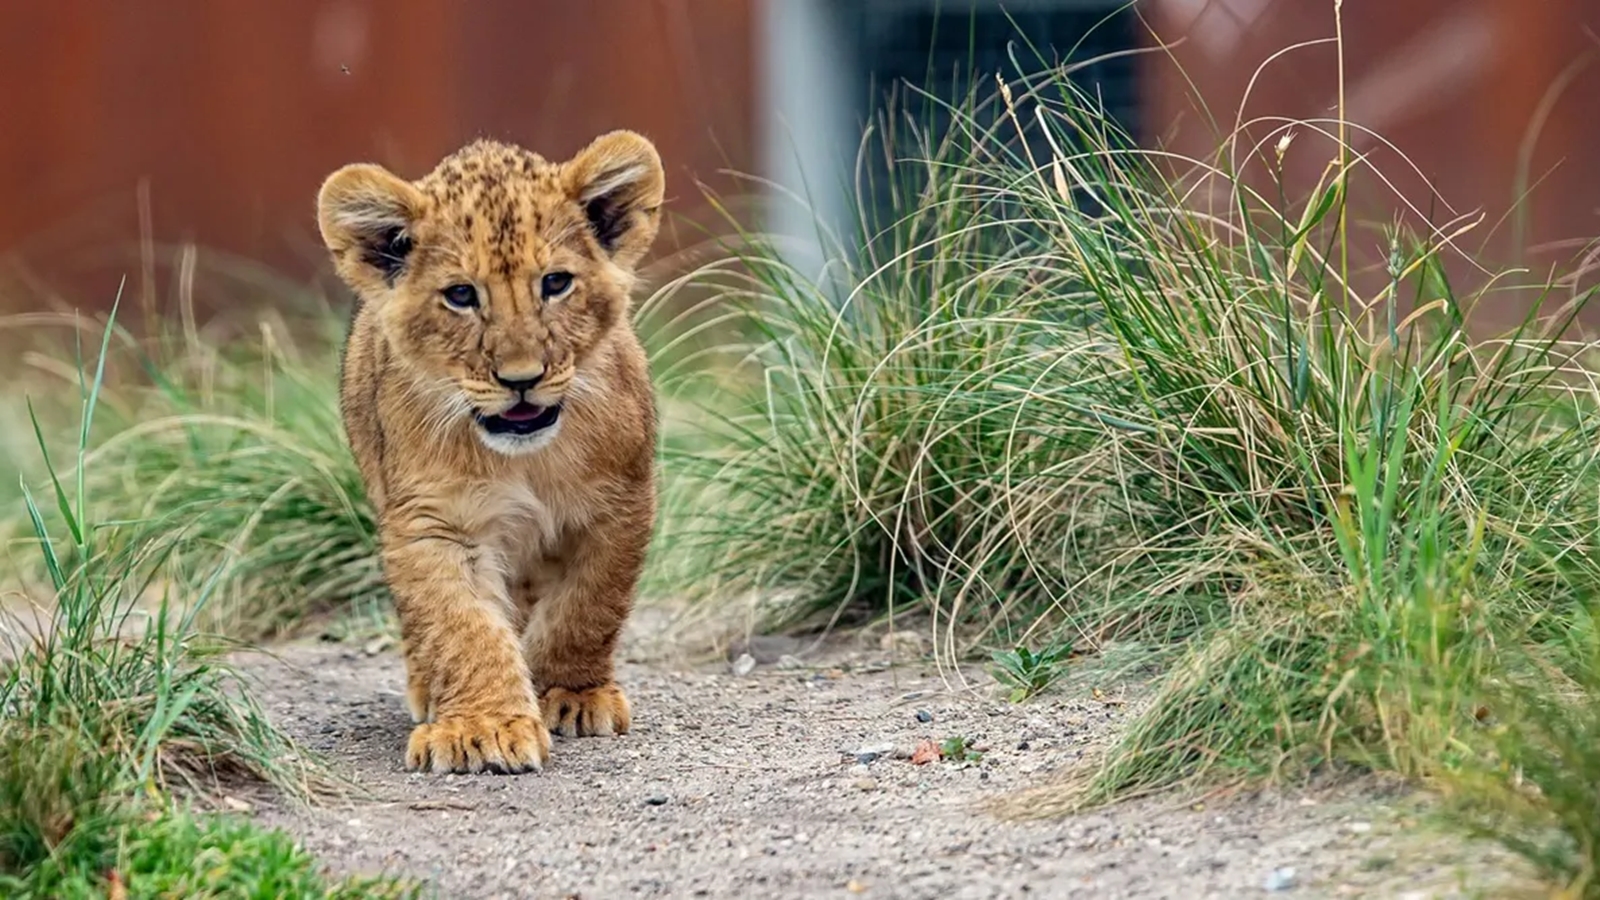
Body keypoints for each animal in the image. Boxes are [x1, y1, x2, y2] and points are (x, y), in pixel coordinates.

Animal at [314, 132, 663, 774]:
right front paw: (482, 726)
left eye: (555, 283)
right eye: (460, 295)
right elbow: (461, 627)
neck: (523, 458)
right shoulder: (433, 522)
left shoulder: (620, 504)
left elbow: (587, 607)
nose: (521, 379)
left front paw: (571, 693)